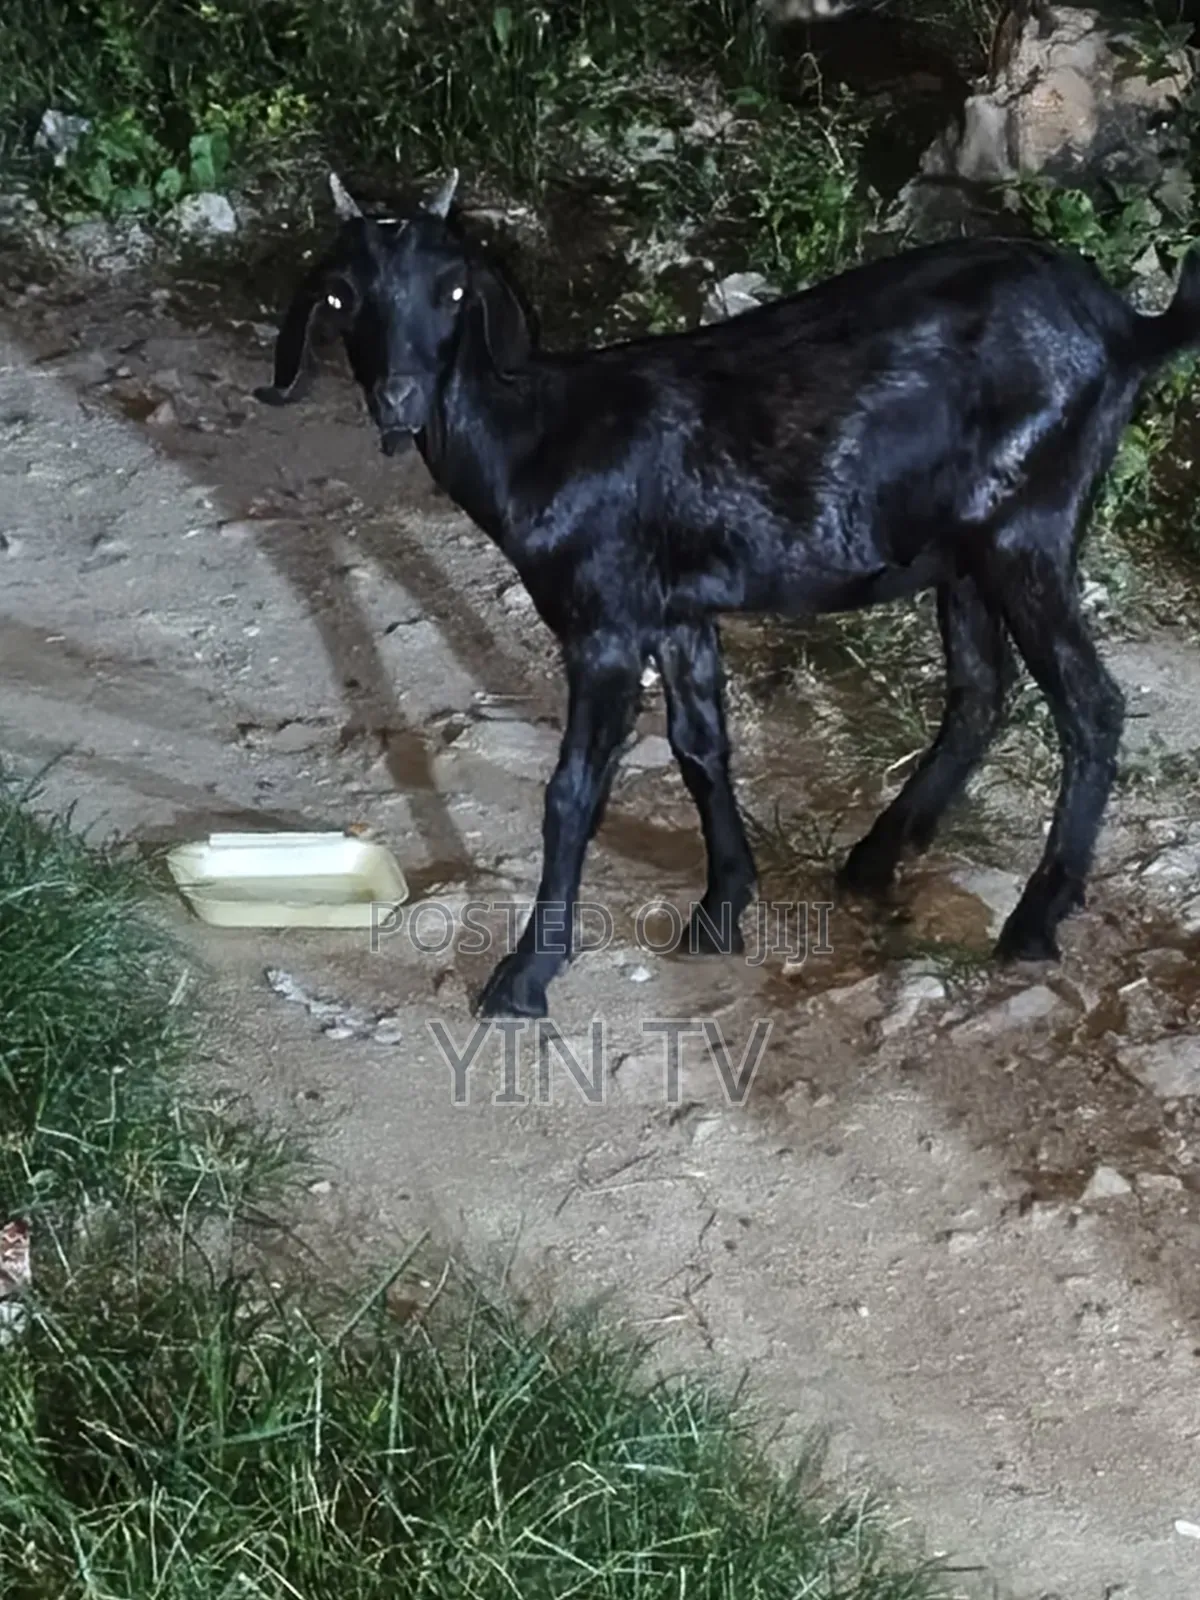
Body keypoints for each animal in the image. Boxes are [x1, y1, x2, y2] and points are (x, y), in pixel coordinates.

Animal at [256, 169, 1200, 1019]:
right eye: (341, 297)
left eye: (453, 289)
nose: (399, 399)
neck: (537, 443)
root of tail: (1127, 327)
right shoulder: (677, 612)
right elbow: (699, 746)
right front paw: (722, 908)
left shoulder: (604, 622)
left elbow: (572, 792)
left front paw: (526, 976)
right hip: (964, 550)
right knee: (980, 689)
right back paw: (875, 859)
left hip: (1027, 526)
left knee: (1091, 704)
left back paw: (1033, 920)